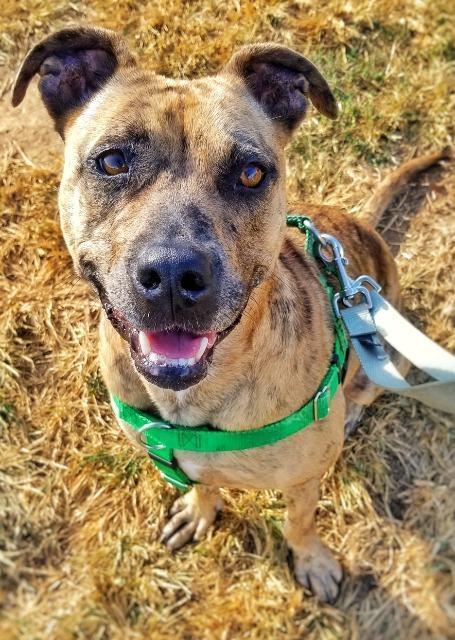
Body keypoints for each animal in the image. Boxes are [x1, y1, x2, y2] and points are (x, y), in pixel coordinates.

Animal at [11, 26, 448, 604]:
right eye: (112, 162)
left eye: (250, 174)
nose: (174, 275)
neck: (194, 400)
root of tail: (361, 227)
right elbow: (205, 485)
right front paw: (201, 511)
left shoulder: (304, 481)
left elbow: (299, 522)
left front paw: (312, 561)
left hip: (384, 342)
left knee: (369, 386)